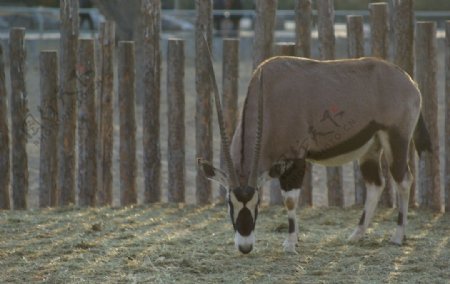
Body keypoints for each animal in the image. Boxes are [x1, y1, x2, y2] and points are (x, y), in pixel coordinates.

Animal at [199, 54, 430, 254]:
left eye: (257, 203)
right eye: (230, 203)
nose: (245, 247)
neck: (270, 96)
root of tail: (411, 82)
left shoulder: (296, 159)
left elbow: (290, 200)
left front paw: (290, 244)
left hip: (396, 140)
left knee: (404, 180)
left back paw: (397, 236)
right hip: (371, 148)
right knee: (376, 184)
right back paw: (356, 235)